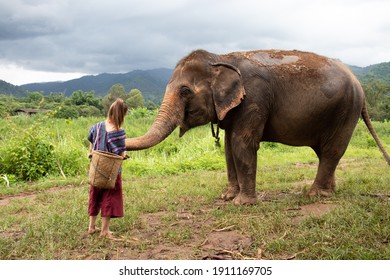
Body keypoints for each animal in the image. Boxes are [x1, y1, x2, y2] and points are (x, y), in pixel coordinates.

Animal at [125, 49, 390, 205]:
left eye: (185, 91)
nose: (123, 155)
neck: (222, 58)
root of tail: (360, 86)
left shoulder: (255, 97)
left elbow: (242, 144)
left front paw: (242, 203)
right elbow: (229, 148)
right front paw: (227, 196)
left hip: (346, 111)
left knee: (332, 150)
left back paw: (315, 195)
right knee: (324, 152)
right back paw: (329, 191)